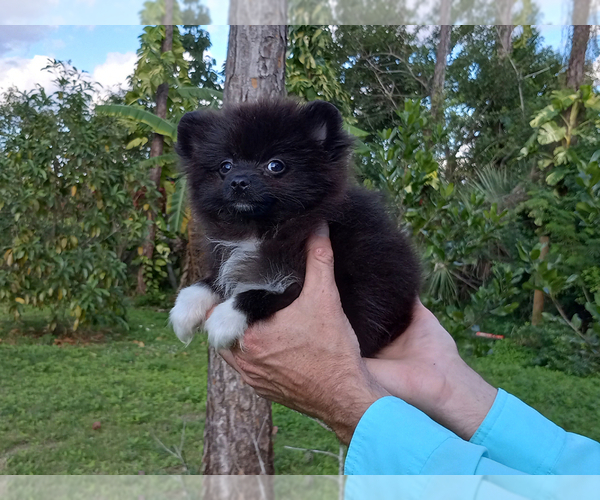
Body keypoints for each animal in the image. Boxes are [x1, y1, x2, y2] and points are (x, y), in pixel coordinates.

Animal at [170, 99, 418, 358]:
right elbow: (213, 280)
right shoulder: (231, 258)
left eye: (275, 165)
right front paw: (186, 306)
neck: (259, 230)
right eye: (225, 166)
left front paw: (225, 318)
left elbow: (262, 293)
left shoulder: (302, 285)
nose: (239, 181)